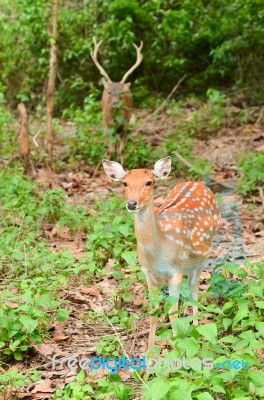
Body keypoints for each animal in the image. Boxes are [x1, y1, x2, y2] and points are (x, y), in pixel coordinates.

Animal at [102, 156, 222, 350]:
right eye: (125, 183)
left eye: (149, 182)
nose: (132, 203)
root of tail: (197, 183)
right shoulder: (149, 275)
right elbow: (154, 312)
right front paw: (150, 351)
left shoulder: (175, 271)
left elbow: (172, 313)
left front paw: (177, 347)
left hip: (203, 253)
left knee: (194, 287)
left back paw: (197, 328)